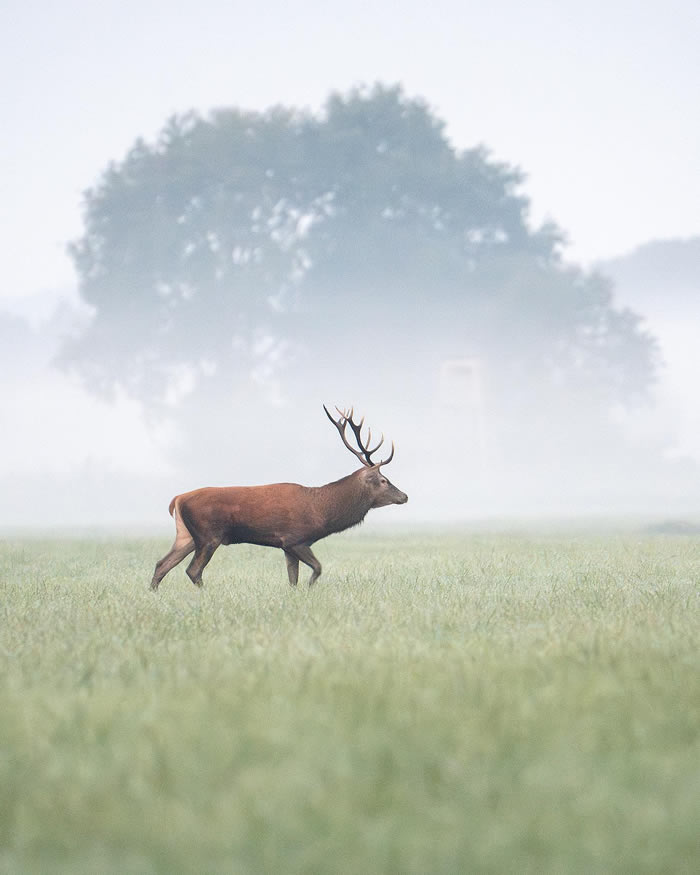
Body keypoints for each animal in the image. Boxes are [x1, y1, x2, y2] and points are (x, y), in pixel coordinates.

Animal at [150, 408, 408, 592]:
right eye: (384, 480)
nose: (405, 496)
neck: (322, 511)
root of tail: (177, 500)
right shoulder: (296, 539)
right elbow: (317, 568)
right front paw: (309, 589)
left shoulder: (287, 546)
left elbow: (293, 579)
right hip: (208, 535)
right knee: (193, 570)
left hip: (186, 535)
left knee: (162, 563)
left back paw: (153, 593)